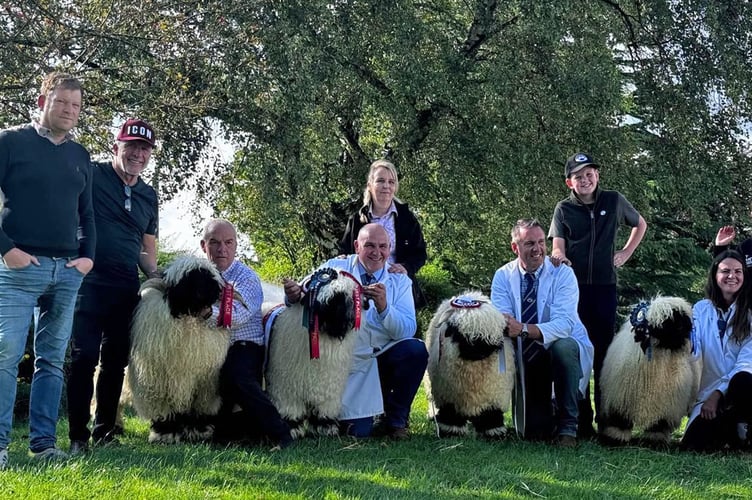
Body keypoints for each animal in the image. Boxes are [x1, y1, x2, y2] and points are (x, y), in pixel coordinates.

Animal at [127, 256, 229, 444]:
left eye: (211, 275)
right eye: (189, 278)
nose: (211, 292)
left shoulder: (204, 383)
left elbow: (198, 411)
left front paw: (198, 432)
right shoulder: (158, 383)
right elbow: (165, 412)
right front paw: (164, 433)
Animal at [262, 268, 362, 440]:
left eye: (351, 297)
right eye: (331, 300)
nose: (346, 319)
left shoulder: (329, 388)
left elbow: (325, 411)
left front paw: (326, 427)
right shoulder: (284, 387)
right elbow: (289, 410)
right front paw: (292, 429)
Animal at [424, 292, 516, 440]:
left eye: (491, 338)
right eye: (459, 334)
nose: (480, 352)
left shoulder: (493, 398)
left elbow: (491, 417)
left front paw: (493, 434)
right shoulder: (449, 398)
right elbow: (451, 417)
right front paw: (452, 433)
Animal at [600, 292, 700, 446]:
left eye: (683, 319)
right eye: (666, 321)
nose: (684, 328)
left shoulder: (666, 407)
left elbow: (658, 426)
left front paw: (655, 442)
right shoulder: (620, 399)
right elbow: (619, 422)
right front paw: (616, 439)